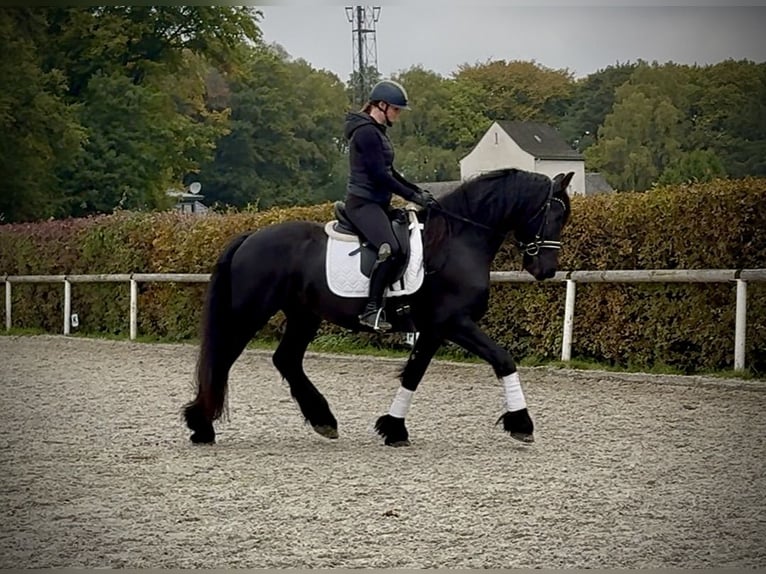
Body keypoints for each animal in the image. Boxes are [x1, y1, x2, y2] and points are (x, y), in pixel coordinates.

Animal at [183, 168, 573, 447]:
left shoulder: (434, 329)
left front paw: (394, 428)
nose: (546, 270)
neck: (459, 240)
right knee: (224, 358)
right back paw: (202, 427)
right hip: (249, 312)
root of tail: (251, 236)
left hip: (303, 315)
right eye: (554, 215)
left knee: (287, 359)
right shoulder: (455, 323)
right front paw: (522, 423)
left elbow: (413, 374)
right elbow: (503, 359)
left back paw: (324, 420)